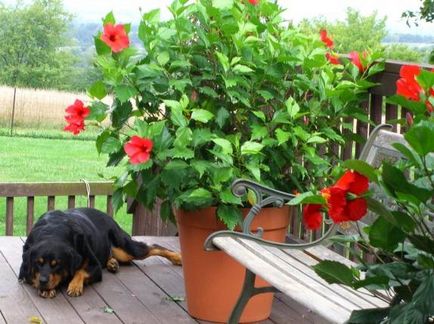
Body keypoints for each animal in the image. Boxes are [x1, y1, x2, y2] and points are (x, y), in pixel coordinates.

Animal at [18, 208, 181, 298]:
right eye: (38, 263)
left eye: (56, 265)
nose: (43, 281)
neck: (53, 231)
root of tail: (107, 215)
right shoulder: (25, 266)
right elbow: (31, 275)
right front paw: (46, 288)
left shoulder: (94, 265)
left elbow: (81, 271)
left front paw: (75, 286)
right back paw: (112, 263)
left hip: (125, 248)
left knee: (153, 246)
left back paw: (178, 258)